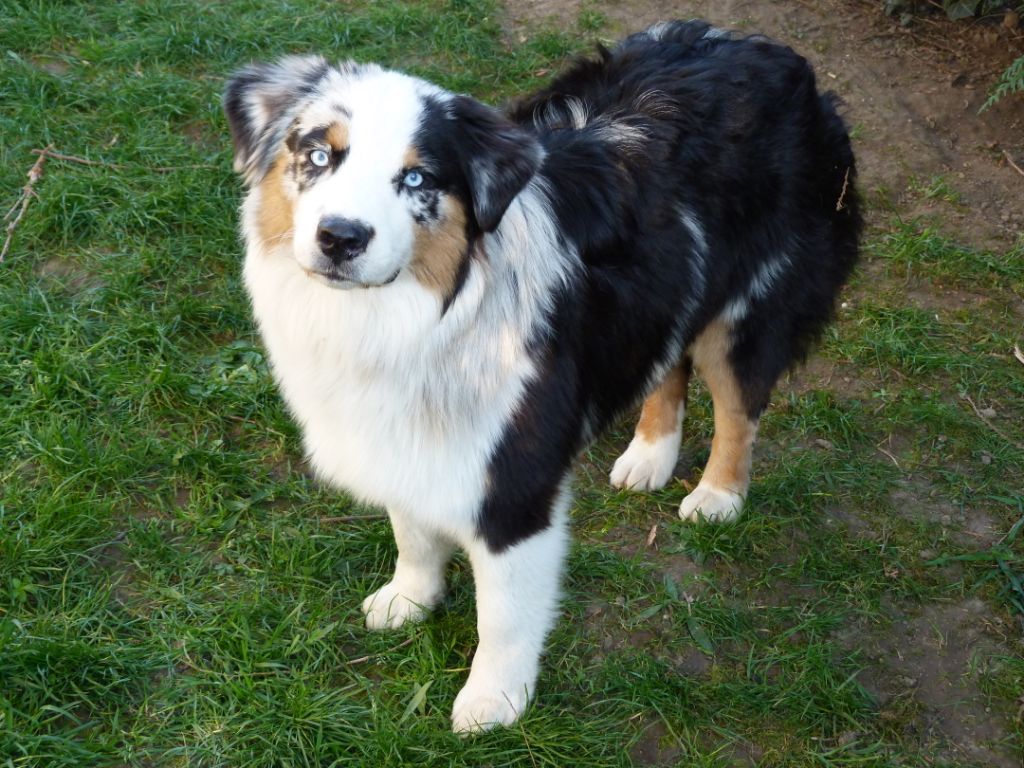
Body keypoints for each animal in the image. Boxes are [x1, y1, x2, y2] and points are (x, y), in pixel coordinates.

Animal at [222, 19, 856, 733]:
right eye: (318, 155)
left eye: (415, 178)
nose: (341, 237)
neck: (420, 314)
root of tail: (767, 48)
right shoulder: (409, 435)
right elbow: (412, 532)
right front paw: (409, 598)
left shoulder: (516, 483)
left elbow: (502, 615)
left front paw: (493, 701)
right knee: (667, 364)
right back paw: (650, 456)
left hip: (749, 308)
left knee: (739, 409)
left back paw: (718, 495)